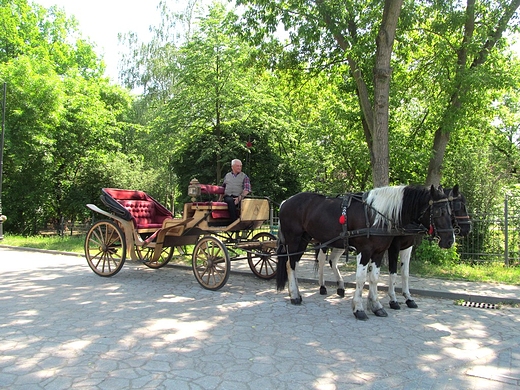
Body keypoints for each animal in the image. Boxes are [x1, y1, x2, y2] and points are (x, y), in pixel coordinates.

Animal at [276, 185, 456, 320]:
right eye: (439, 212)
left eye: (451, 211)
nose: (450, 240)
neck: (377, 216)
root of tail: (285, 202)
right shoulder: (366, 251)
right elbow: (362, 279)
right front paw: (359, 308)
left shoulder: (379, 252)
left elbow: (374, 278)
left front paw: (376, 306)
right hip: (294, 240)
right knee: (290, 265)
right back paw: (295, 295)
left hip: (304, 240)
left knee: (295, 264)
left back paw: (298, 292)